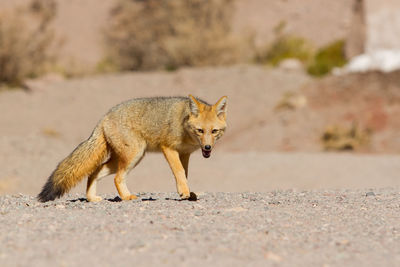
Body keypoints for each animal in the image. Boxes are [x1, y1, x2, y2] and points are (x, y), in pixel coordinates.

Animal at [38, 95, 228, 202]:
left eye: (214, 131)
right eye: (200, 131)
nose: (207, 147)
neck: (184, 124)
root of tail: (105, 117)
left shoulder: (184, 154)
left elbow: (184, 174)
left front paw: (185, 192)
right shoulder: (168, 148)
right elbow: (179, 172)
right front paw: (184, 192)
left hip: (123, 158)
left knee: (94, 172)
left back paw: (92, 198)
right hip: (134, 156)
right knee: (117, 178)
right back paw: (126, 197)